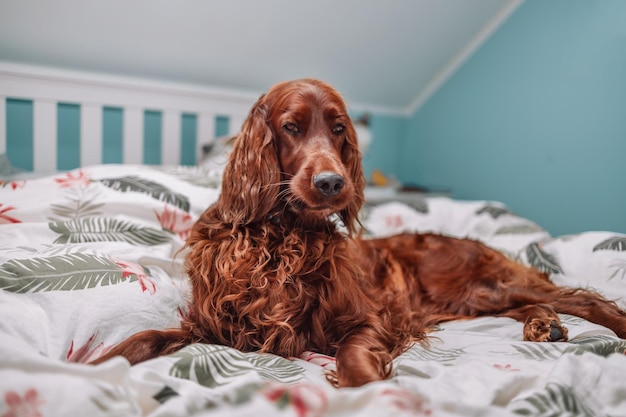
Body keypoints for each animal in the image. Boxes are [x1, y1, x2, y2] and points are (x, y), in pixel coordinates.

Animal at [92, 79, 624, 386]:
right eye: (291, 126)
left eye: (339, 129)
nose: (332, 182)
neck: (281, 238)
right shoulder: (213, 328)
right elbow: (141, 340)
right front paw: (89, 370)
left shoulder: (371, 320)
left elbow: (353, 356)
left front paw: (368, 388)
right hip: (475, 299)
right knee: (534, 304)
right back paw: (543, 324)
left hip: (479, 286)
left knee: (579, 298)